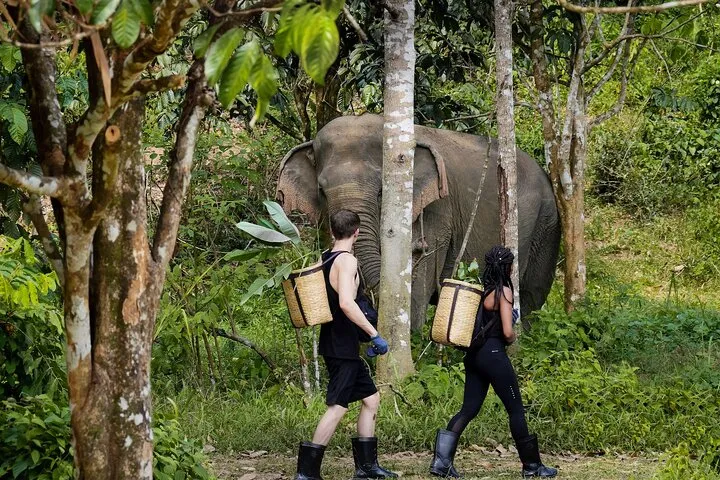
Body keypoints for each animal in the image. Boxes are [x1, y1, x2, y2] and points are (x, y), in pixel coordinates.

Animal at [276, 114, 560, 330]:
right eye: (322, 191)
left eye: (382, 191)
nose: (420, 247)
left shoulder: (436, 212)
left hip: (546, 222)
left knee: (532, 295)